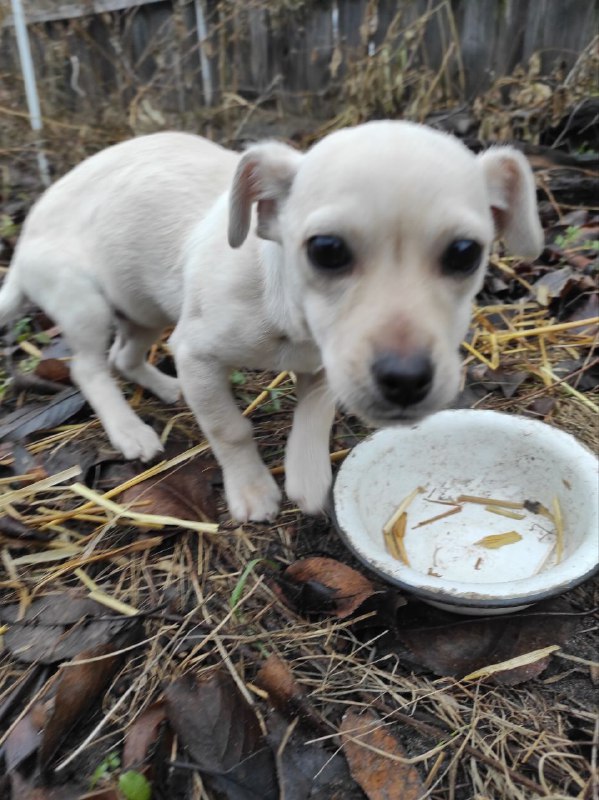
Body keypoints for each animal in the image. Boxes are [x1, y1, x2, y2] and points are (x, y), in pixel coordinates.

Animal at [0, 119, 544, 520]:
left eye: (465, 253)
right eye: (326, 249)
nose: (406, 381)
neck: (283, 311)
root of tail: (23, 241)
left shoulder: (324, 366)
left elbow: (314, 416)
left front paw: (307, 477)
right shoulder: (197, 353)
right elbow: (230, 428)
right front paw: (253, 491)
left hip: (143, 309)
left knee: (125, 356)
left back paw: (165, 388)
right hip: (85, 303)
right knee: (89, 367)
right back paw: (128, 430)